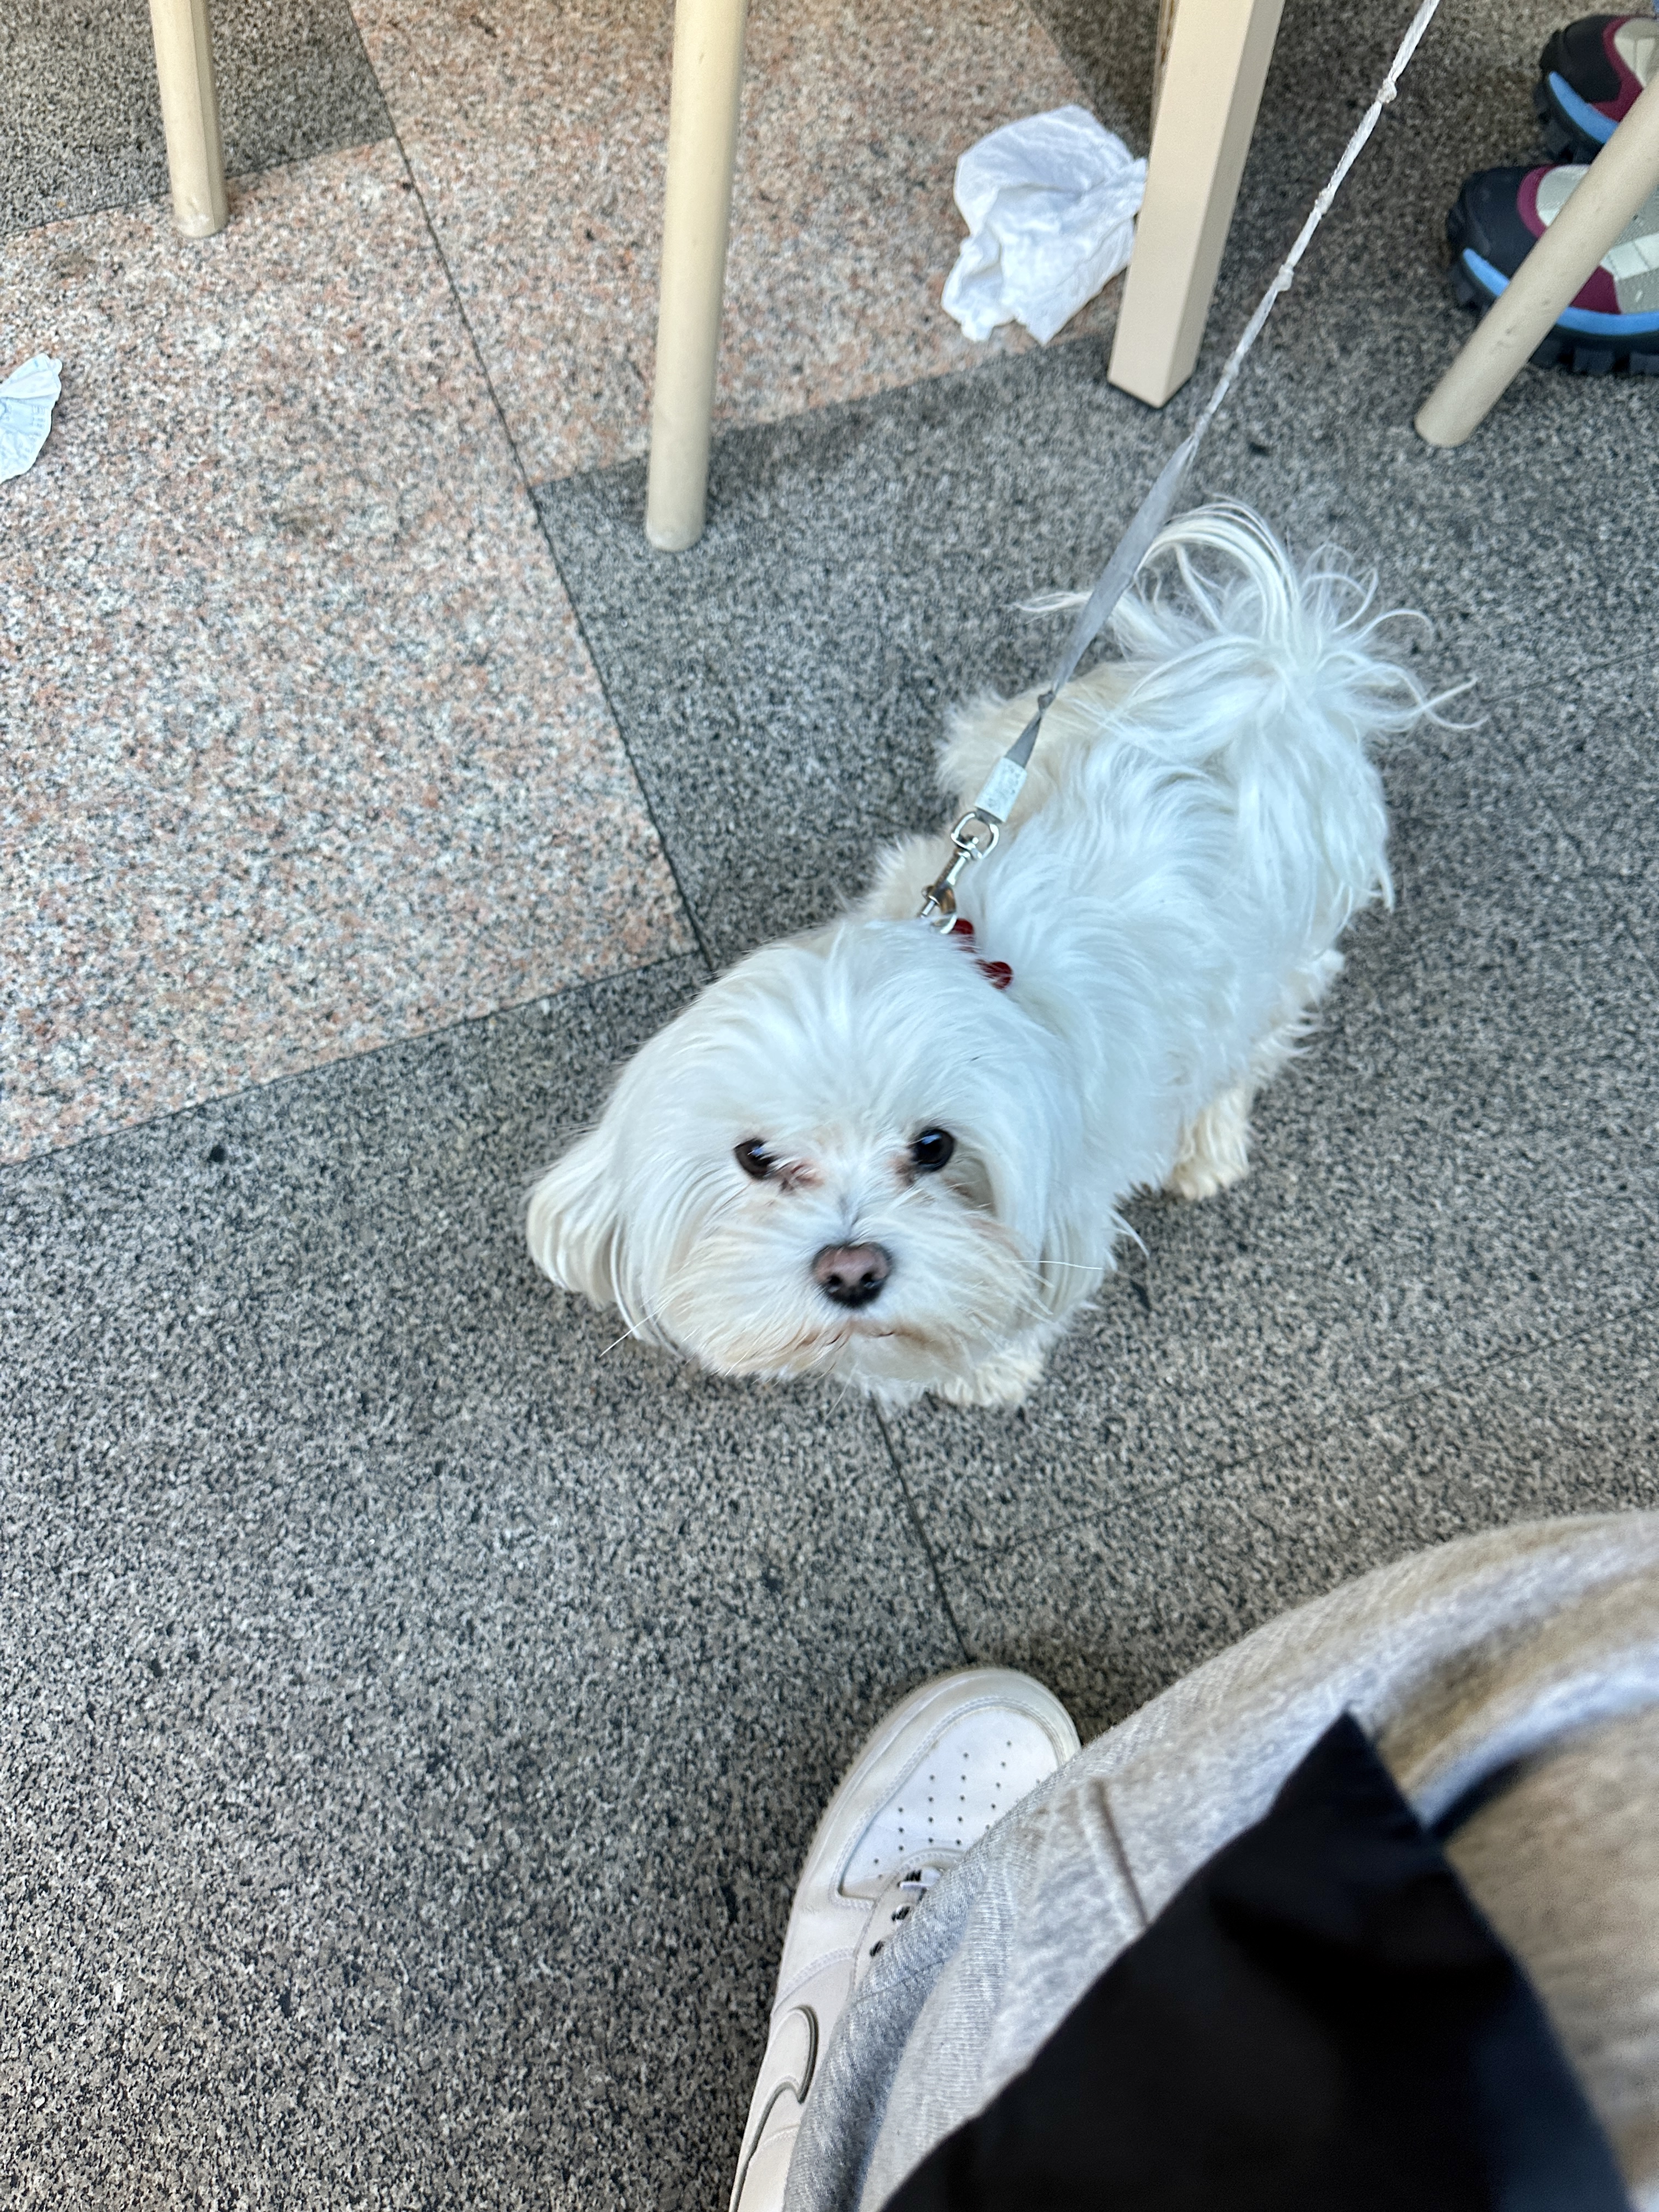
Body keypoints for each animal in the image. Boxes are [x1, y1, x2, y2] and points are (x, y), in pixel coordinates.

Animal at [527, 506, 1427, 1408]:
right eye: (756, 1157)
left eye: (935, 1148)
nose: (851, 1271)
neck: (972, 966)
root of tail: (1266, 676)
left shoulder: (1070, 1207)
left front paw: (989, 1366)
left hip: (1278, 962)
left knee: (1253, 1046)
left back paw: (1208, 1145)